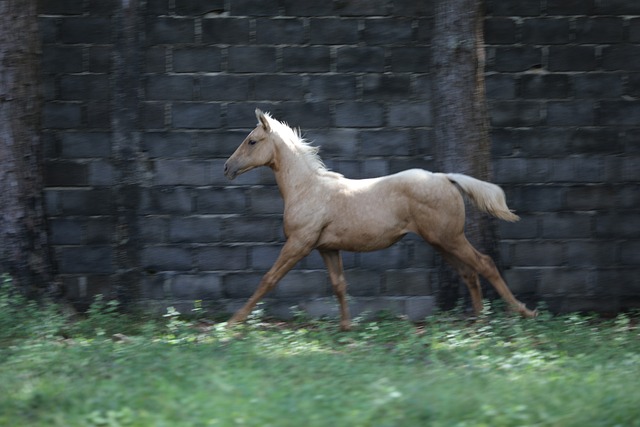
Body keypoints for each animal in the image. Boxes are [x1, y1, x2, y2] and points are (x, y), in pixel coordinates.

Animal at [224, 110, 536, 332]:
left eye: (252, 141)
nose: (227, 167)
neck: (308, 188)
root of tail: (446, 177)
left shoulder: (299, 243)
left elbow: (268, 279)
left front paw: (233, 321)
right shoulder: (327, 247)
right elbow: (339, 285)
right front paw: (346, 327)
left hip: (450, 238)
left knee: (485, 263)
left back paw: (523, 311)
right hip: (441, 241)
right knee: (469, 272)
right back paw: (480, 321)